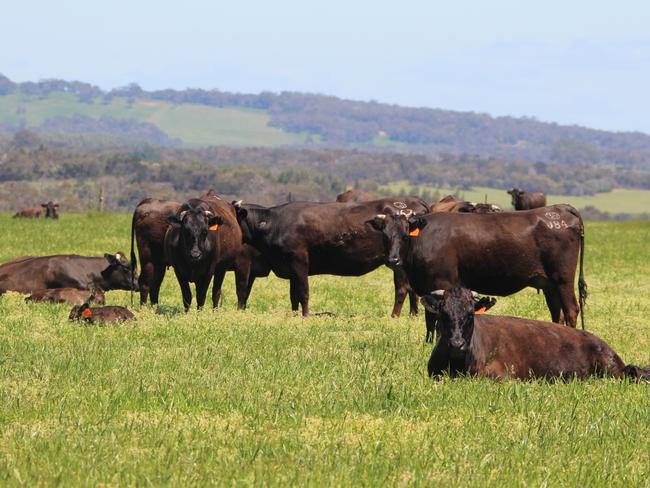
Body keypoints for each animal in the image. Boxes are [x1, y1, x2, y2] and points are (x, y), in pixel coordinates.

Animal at [234, 197, 430, 316]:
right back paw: (413, 314)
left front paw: (305, 316)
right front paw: (295, 315)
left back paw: (394, 316)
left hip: (398, 262)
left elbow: (303, 292)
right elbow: (293, 295)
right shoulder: (290, 266)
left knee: (402, 288)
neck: (273, 223)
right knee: (412, 289)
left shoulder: (299, 259)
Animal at [368, 204, 584, 342]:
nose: (393, 260)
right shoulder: (427, 288)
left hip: (563, 280)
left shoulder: (442, 283)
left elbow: (437, 319)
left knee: (571, 310)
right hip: (549, 285)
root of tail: (561, 208)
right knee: (558, 313)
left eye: (405, 235)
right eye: (385, 235)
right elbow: (429, 319)